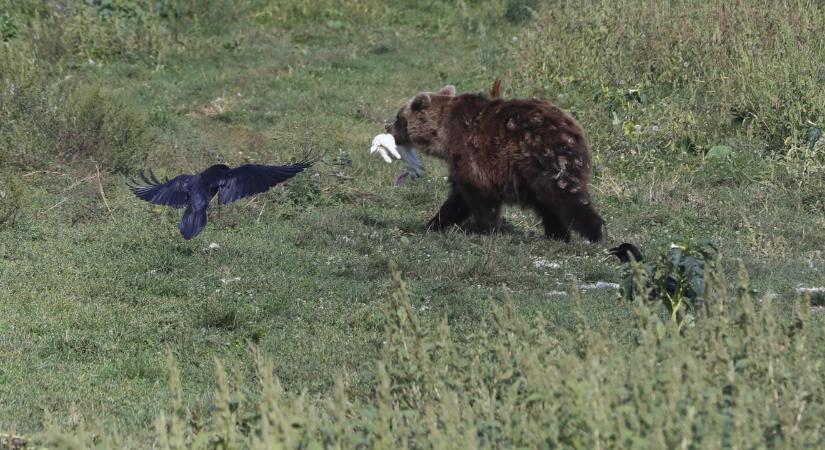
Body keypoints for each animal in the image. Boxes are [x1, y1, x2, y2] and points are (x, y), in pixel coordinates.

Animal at [386, 82, 604, 241]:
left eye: (398, 117)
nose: (388, 127)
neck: (443, 133)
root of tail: (573, 127)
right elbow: (458, 198)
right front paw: (433, 223)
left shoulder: (469, 153)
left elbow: (476, 195)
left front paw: (485, 229)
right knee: (549, 204)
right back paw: (557, 235)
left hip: (546, 156)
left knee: (565, 196)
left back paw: (597, 233)